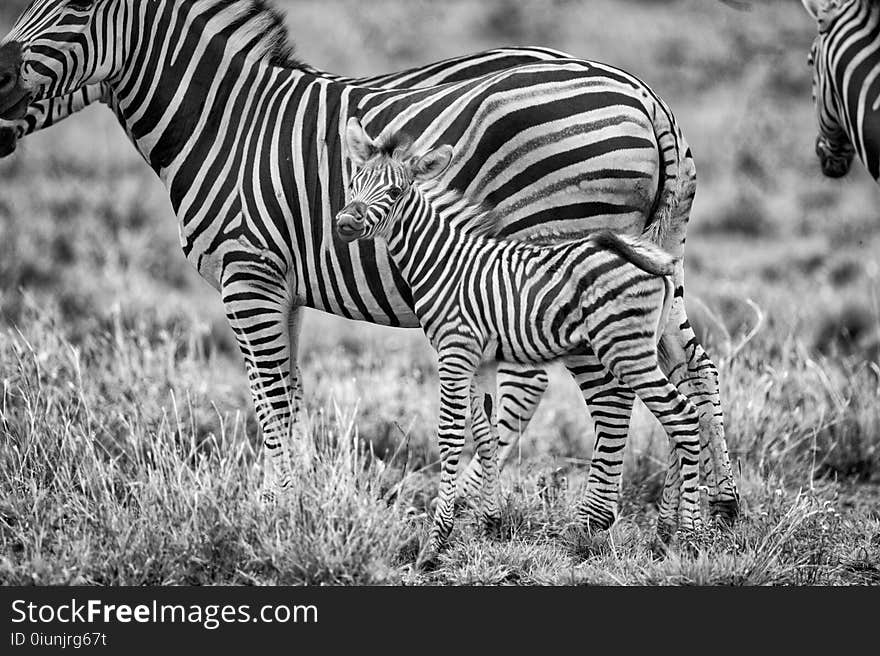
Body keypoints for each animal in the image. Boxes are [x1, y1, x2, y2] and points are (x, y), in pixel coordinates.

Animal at [336, 119, 700, 564]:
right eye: (353, 183)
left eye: (395, 193)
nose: (344, 223)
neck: (442, 261)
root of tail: (646, 255)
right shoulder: (482, 359)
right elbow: (486, 433)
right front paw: (491, 524)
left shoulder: (454, 350)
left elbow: (451, 435)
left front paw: (436, 542)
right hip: (643, 345)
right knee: (681, 413)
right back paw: (668, 535)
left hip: (625, 349)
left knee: (682, 415)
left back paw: (690, 536)